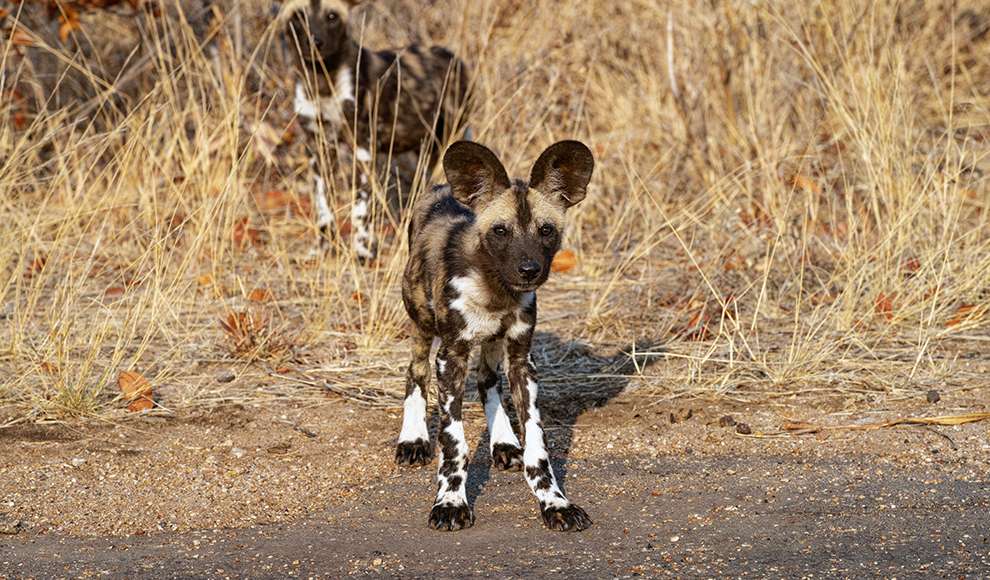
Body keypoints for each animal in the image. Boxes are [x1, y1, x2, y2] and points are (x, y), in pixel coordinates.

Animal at [276, 0, 468, 260]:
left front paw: (363, 251)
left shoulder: (363, 148)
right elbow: (322, 204)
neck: (322, 81)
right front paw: (324, 248)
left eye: (332, 16)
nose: (315, 42)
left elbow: (360, 206)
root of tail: (452, 56)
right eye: (298, 16)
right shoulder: (318, 149)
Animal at [396, 138, 596, 532]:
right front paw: (450, 503)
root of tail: (442, 187)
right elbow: (454, 443)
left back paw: (504, 442)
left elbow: (537, 445)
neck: (496, 292)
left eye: (546, 230)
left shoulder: (522, 360)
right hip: (423, 323)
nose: (529, 270)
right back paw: (413, 438)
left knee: (487, 380)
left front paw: (554, 502)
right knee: (415, 370)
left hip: (493, 343)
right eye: (500, 231)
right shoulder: (451, 359)